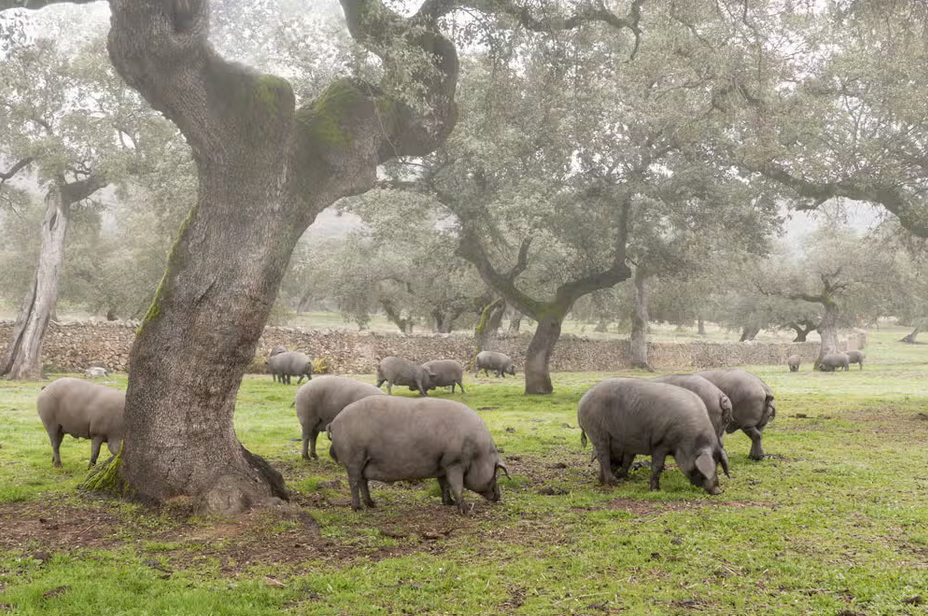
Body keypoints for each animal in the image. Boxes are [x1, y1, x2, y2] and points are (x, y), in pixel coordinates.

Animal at [328, 396, 509, 514]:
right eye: (495, 472)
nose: (499, 497)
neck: (478, 453)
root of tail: (334, 422)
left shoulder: (442, 465)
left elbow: (444, 484)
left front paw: (448, 503)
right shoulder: (454, 463)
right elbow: (456, 485)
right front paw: (466, 511)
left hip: (363, 460)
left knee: (363, 481)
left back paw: (372, 504)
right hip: (354, 457)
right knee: (354, 482)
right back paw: (357, 508)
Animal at [577, 378, 730, 494]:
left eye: (717, 464)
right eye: (703, 469)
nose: (718, 491)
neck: (687, 440)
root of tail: (582, 402)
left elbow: (629, 459)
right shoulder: (659, 443)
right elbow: (657, 466)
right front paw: (655, 490)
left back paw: (605, 480)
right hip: (597, 432)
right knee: (604, 457)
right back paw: (613, 483)